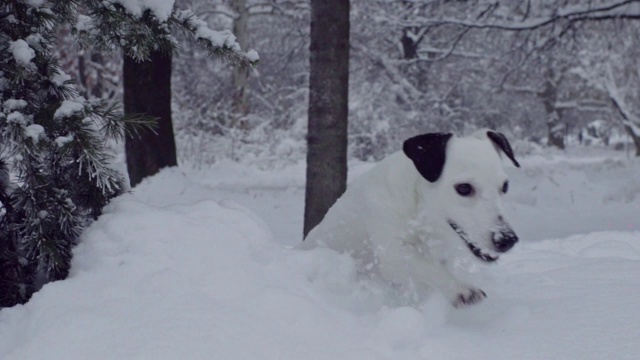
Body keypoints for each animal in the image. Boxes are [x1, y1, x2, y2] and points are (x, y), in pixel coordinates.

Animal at [298, 129, 520, 306]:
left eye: (505, 186)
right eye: (464, 188)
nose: (507, 239)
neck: (419, 214)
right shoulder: (392, 254)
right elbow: (425, 265)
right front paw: (460, 288)